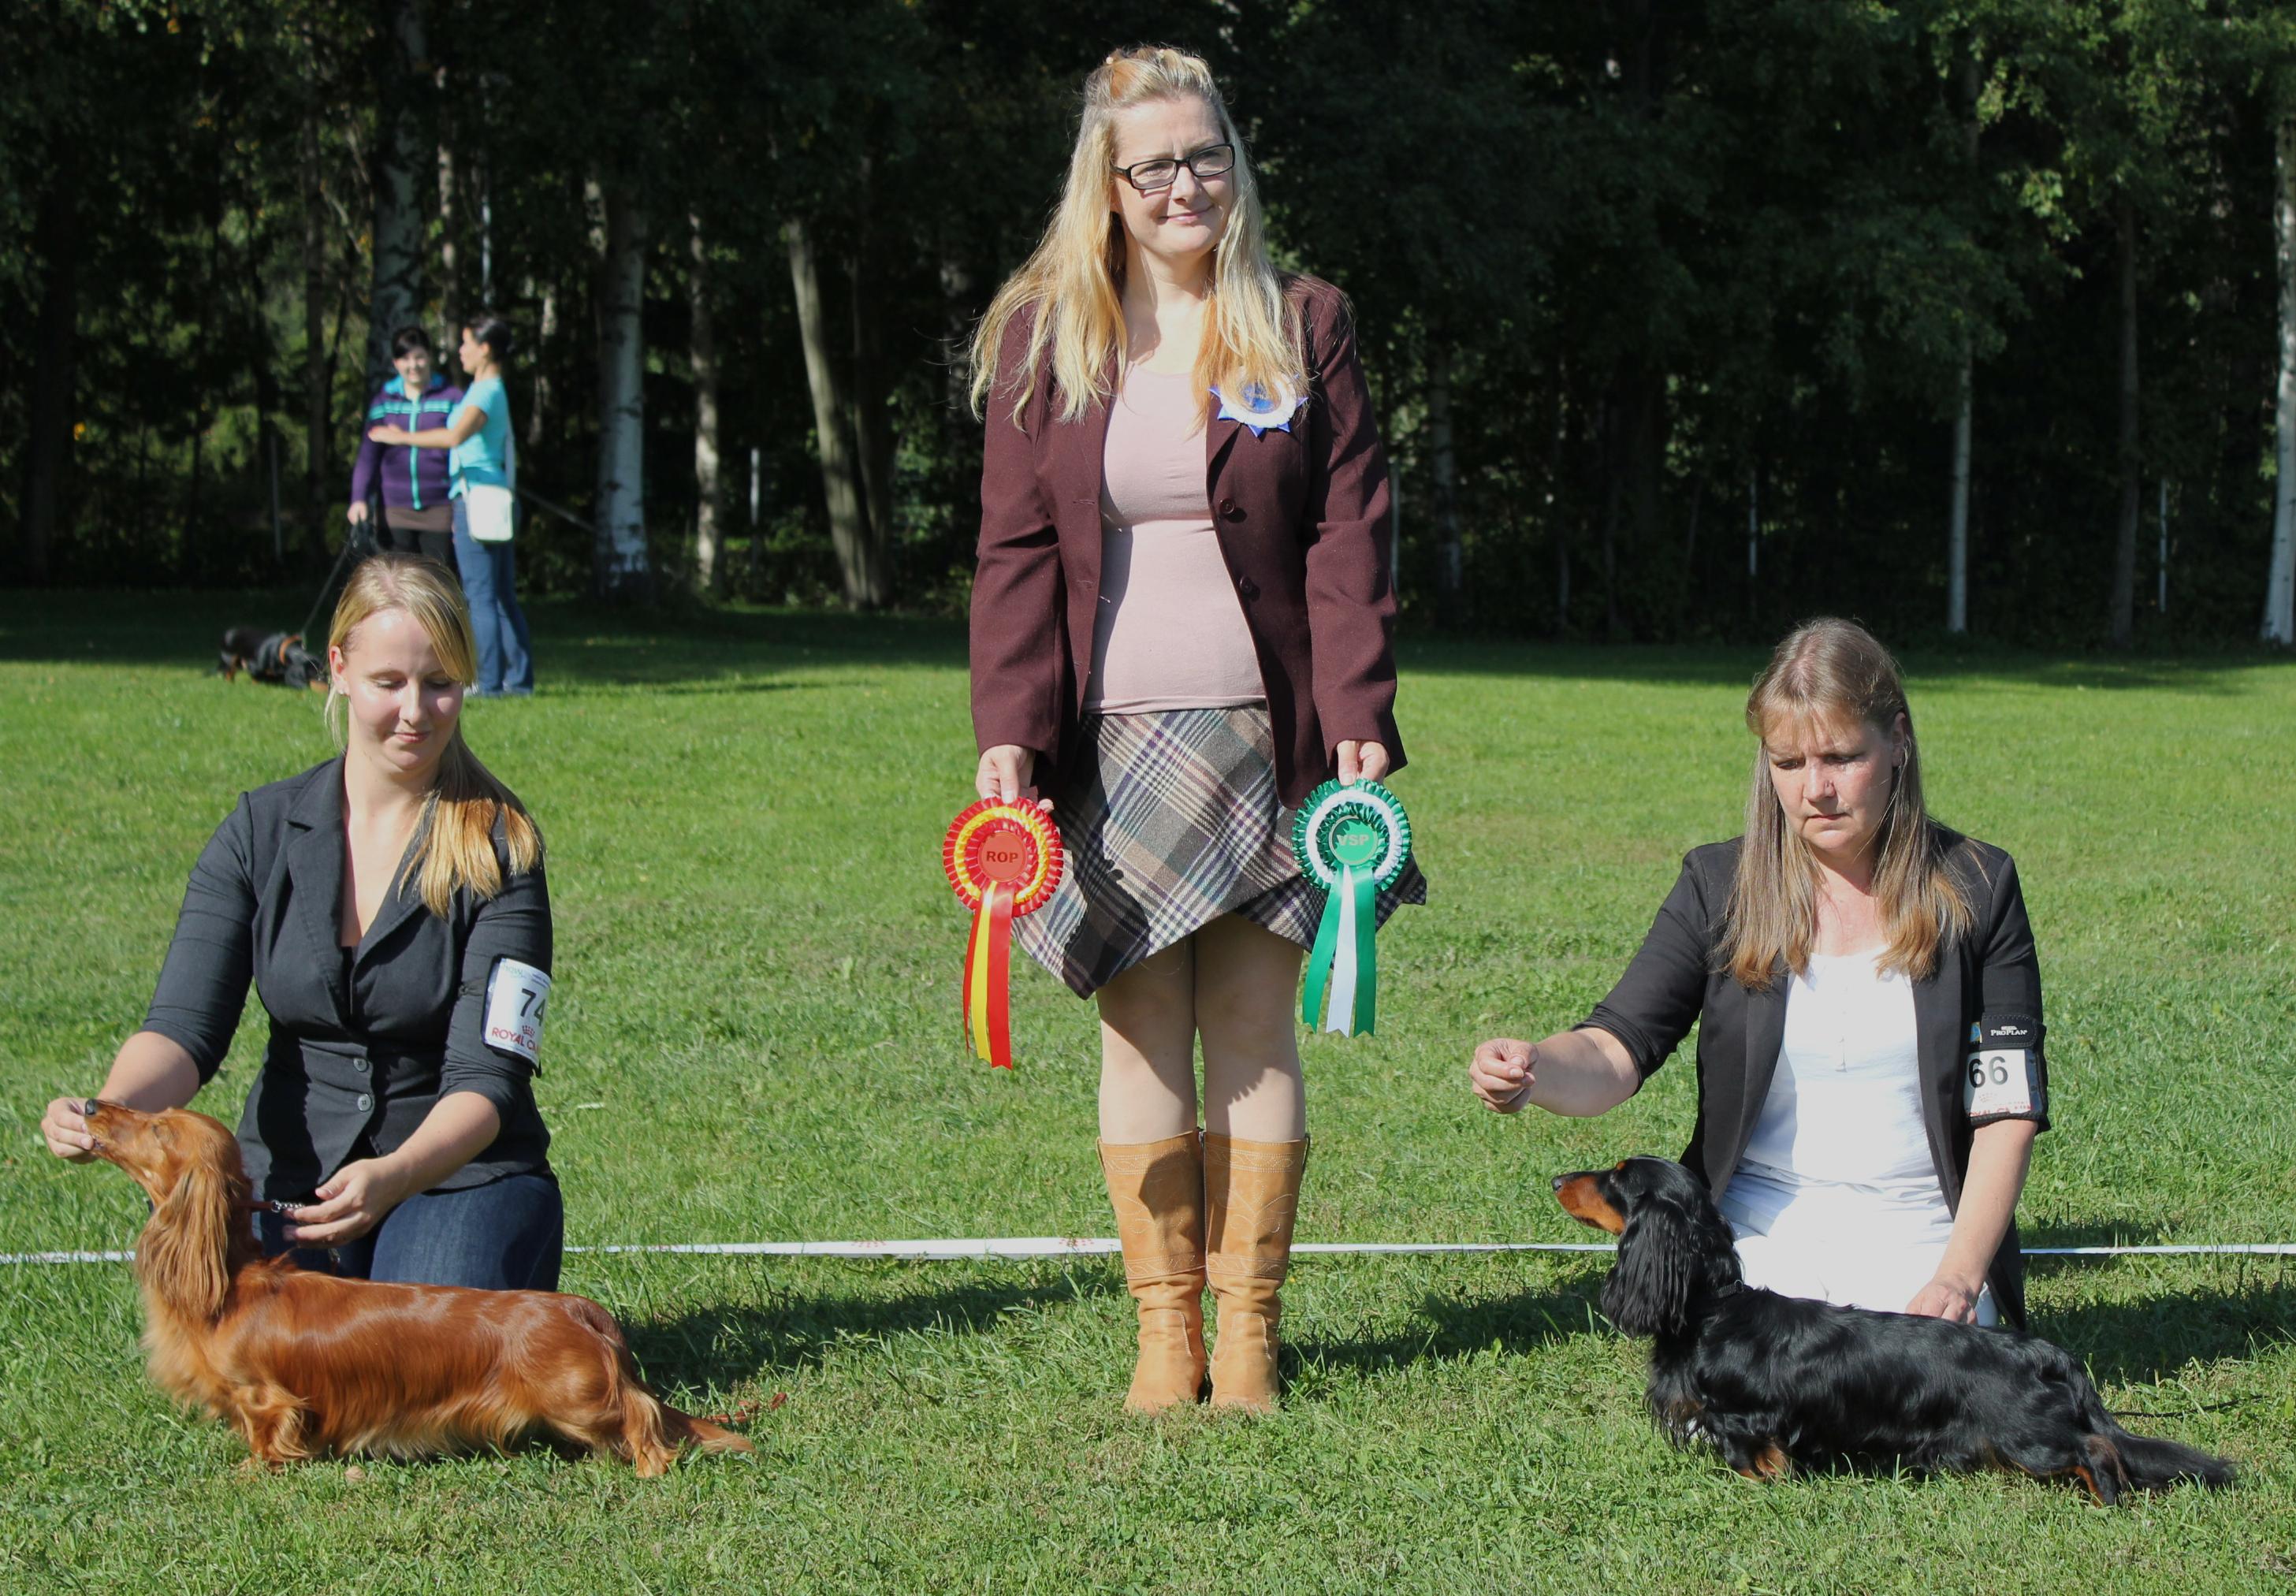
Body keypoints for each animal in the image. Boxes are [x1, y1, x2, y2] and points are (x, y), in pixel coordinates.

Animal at [84, 1100, 753, 1475]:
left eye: (158, 1128)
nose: (89, 1104)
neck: (229, 1280)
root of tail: (578, 1309)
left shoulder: (264, 1395)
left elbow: (266, 1432)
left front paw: (253, 1471)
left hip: (579, 1400)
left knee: (642, 1413)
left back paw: (647, 1465)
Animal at [1553, 1156, 2234, 1504]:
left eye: (1616, 1177)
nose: (1556, 1178)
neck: (1713, 1308)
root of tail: (2041, 1353)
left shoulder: (1745, 1415)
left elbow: (1752, 1454)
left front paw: (1761, 1482)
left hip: (2027, 1434)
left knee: (2096, 1449)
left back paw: (2104, 1498)